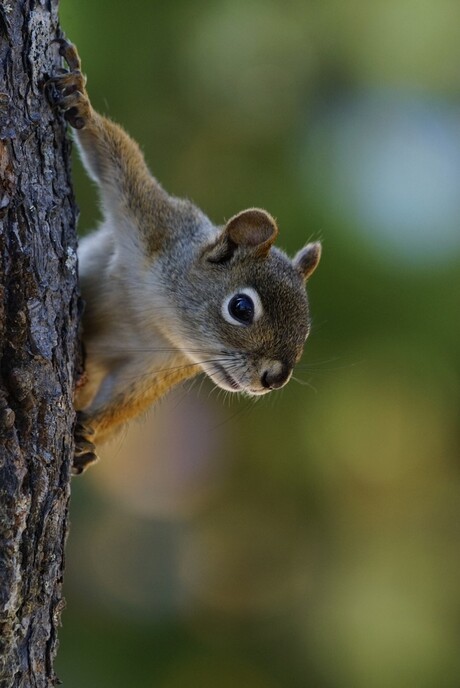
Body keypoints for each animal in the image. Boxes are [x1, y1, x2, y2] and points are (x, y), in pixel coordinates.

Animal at [45, 37, 322, 472]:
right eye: (241, 308)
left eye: (307, 329)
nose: (276, 378)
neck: (157, 312)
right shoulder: (153, 221)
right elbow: (116, 156)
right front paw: (81, 106)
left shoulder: (160, 365)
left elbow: (128, 399)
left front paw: (87, 432)